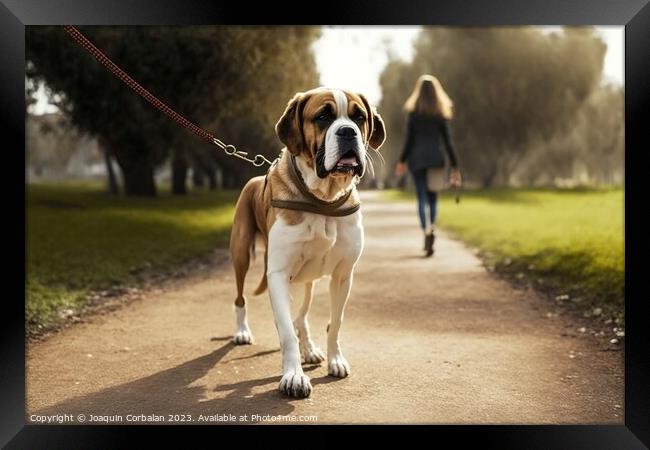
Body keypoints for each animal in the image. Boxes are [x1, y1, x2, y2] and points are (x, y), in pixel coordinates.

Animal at [227, 86, 382, 396]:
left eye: (359, 117)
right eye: (323, 116)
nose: (348, 131)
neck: (323, 199)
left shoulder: (343, 275)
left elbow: (335, 322)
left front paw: (335, 360)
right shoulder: (278, 274)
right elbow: (287, 332)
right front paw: (293, 376)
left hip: (306, 281)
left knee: (301, 316)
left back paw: (309, 348)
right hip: (241, 255)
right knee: (243, 298)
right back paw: (242, 331)